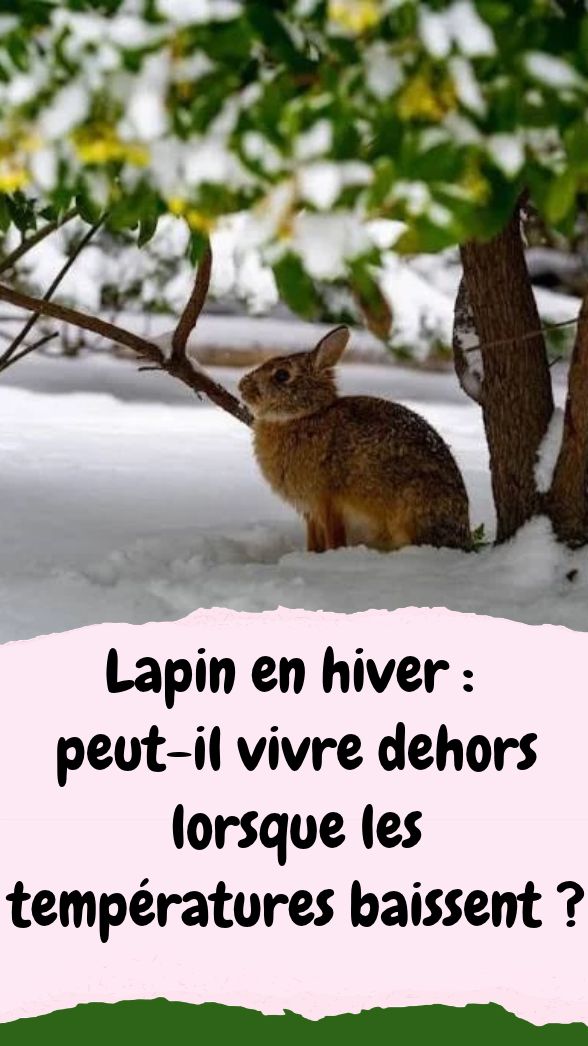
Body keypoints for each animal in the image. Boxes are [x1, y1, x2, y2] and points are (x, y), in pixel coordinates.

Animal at [238, 325, 471, 553]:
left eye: (281, 375)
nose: (242, 386)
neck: (306, 415)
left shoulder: (328, 502)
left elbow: (333, 537)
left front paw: (333, 555)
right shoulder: (310, 511)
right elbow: (313, 541)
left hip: (413, 503)